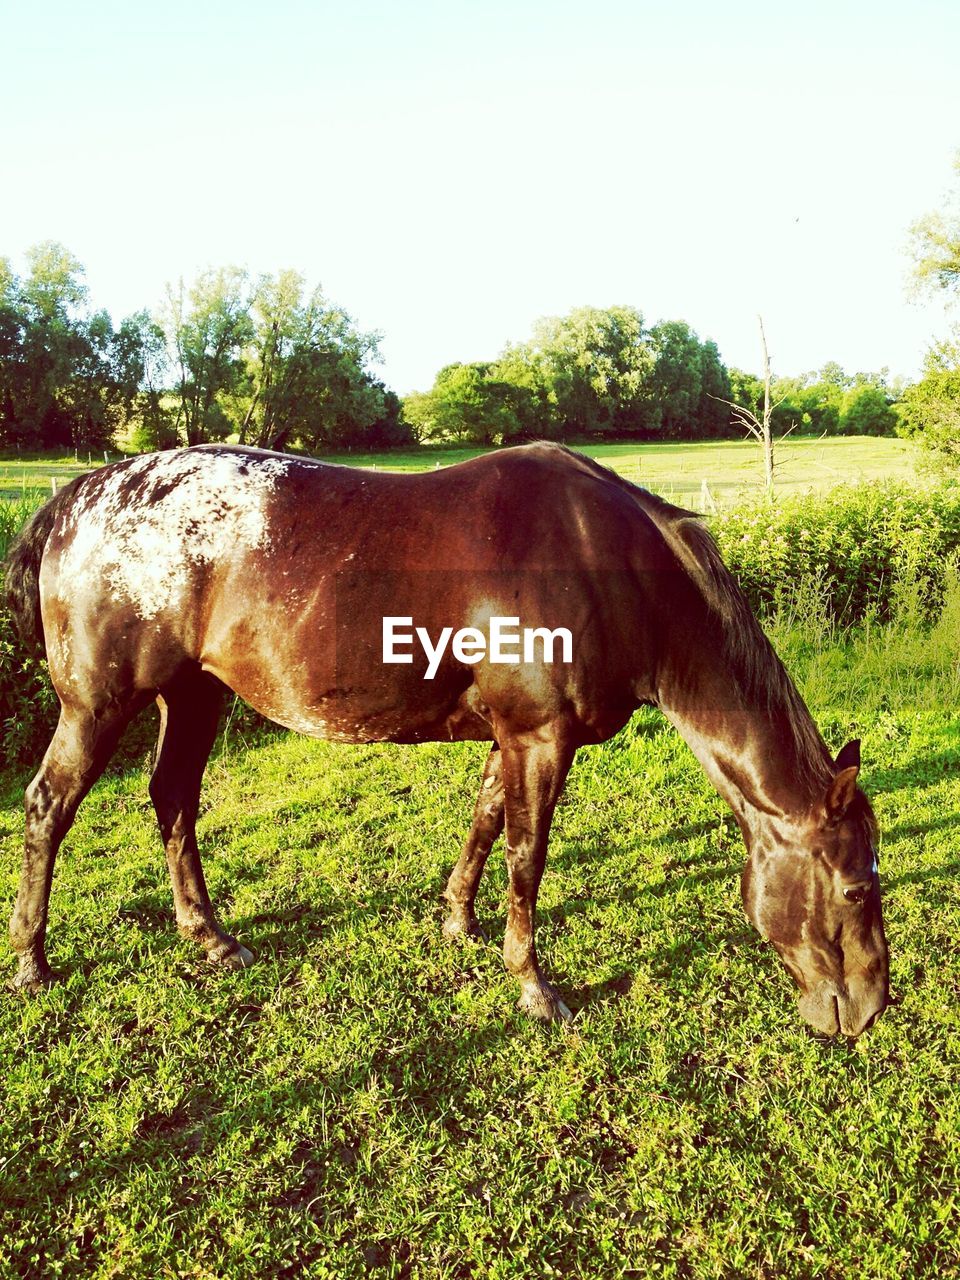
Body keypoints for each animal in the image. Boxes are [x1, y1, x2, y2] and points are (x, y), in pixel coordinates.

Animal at [0, 445, 890, 1034]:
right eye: (855, 889)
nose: (868, 1011)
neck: (610, 563)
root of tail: (78, 499)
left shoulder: (512, 738)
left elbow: (487, 823)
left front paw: (459, 922)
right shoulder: (540, 740)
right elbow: (528, 859)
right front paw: (534, 986)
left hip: (193, 696)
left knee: (172, 800)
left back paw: (209, 936)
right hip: (99, 706)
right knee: (49, 808)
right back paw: (33, 961)